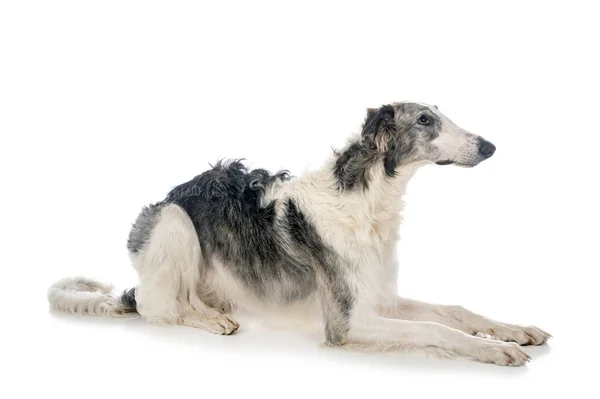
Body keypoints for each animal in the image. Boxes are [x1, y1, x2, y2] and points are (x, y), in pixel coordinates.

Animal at [49, 102, 552, 366]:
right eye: (426, 120)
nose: (490, 146)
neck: (365, 202)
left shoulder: (380, 298)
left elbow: (454, 311)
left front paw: (514, 331)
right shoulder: (346, 324)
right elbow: (436, 328)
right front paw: (495, 350)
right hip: (174, 221)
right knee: (164, 308)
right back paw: (210, 320)